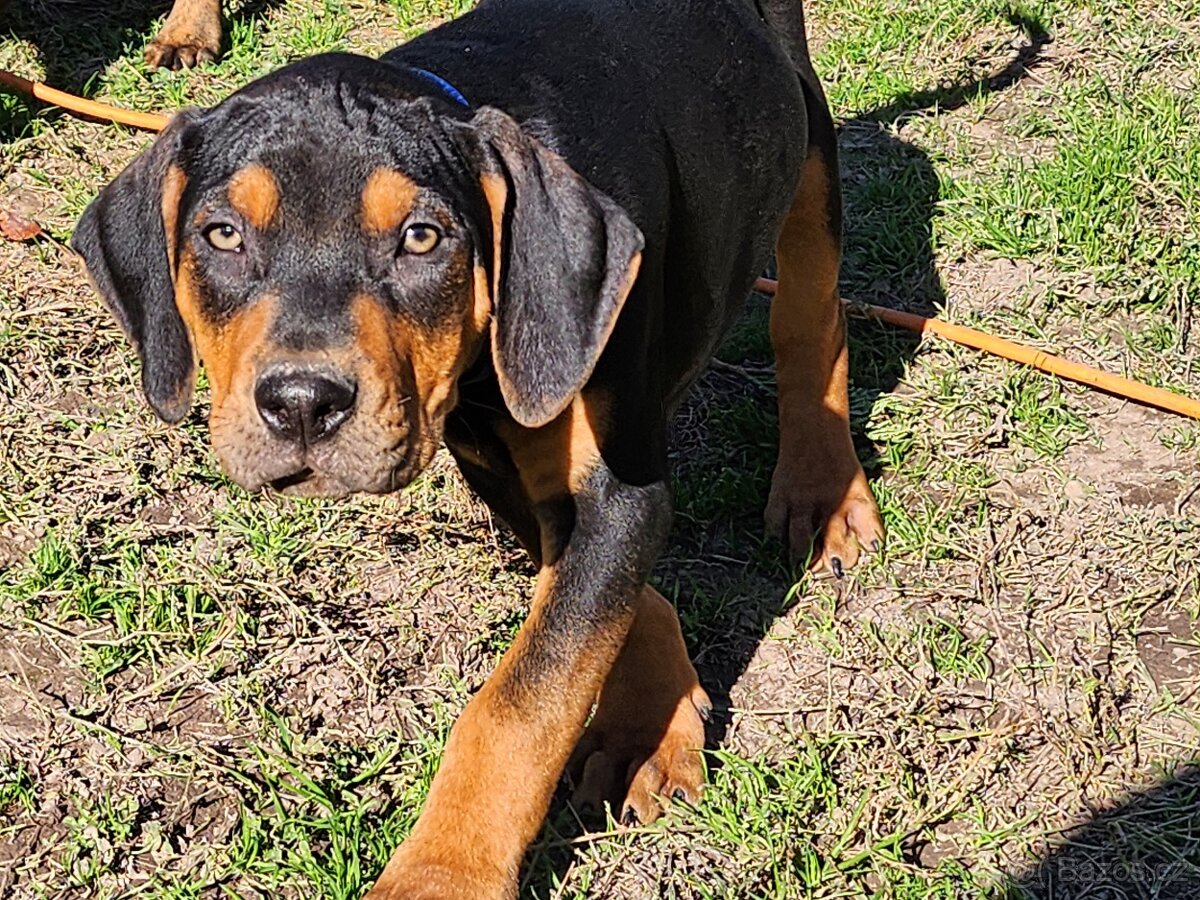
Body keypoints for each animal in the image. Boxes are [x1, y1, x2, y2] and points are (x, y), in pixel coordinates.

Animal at [70, 0, 888, 897]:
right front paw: (654, 717)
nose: (302, 403)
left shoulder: (618, 479)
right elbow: (600, 609)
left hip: (808, 142)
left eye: (423, 238)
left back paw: (821, 485)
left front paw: (440, 874)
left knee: (811, 315)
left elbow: (522, 700)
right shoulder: (510, 469)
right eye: (221, 234)